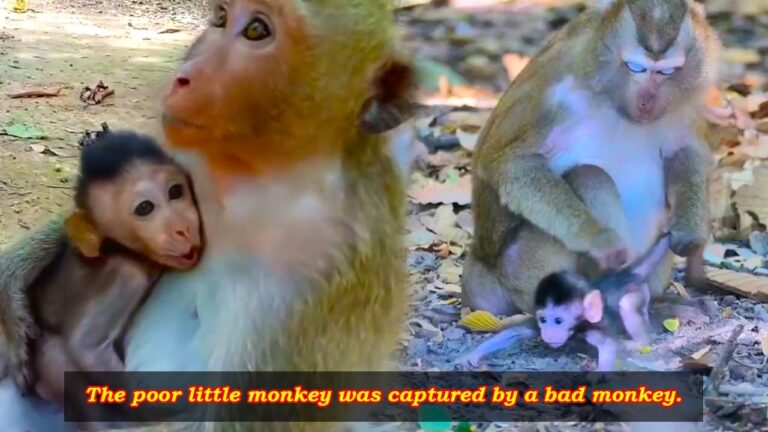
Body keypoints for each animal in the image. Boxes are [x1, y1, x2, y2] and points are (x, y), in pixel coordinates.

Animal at [0, 0, 414, 430]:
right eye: (220, 18)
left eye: (256, 31)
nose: (183, 76)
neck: (262, 174)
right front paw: (11, 298)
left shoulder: (325, 268)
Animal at [460, 0, 720, 319]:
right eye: (636, 67)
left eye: (667, 72)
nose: (646, 101)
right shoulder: (552, 83)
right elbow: (511, 165)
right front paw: (599, 239)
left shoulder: (687, 100)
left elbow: (685, 150)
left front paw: (690, 228)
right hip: (518, 267)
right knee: (588, 174)